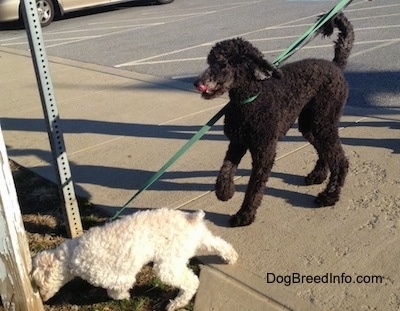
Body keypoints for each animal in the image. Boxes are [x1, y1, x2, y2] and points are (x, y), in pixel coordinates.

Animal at [32, 207, 238, 311]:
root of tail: (191, 219)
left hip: (167, 265)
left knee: (192, 282)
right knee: (220, 244)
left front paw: (124, 296)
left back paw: (176, 304)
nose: (42, 299)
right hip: (200, 241)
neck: (71, 255)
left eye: (38, 285)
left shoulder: (117, 277)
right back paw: (231, 257)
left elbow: (114, 292)